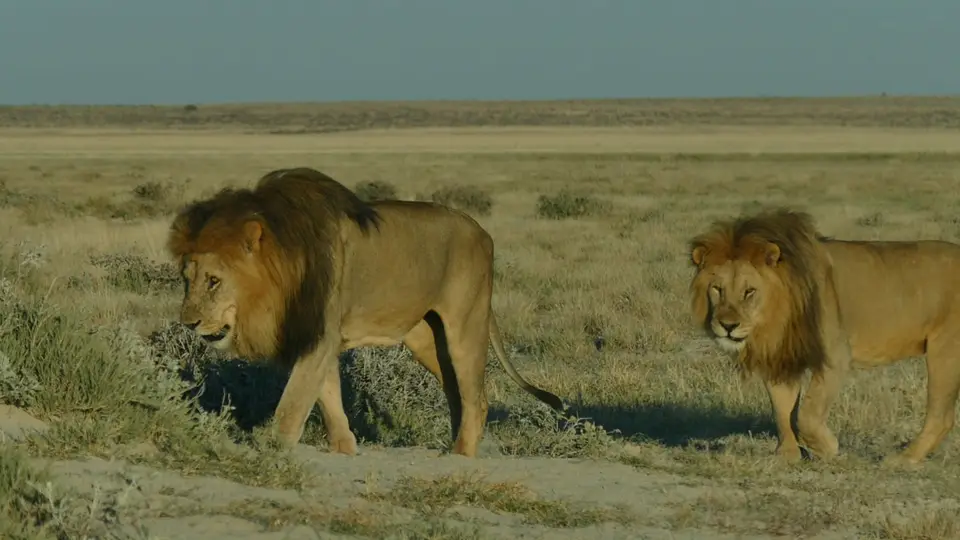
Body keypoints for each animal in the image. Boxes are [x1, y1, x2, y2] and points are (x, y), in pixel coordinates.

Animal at [166, 167, 565, 458]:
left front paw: (272, 446)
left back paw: (461, 455)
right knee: (457, 394)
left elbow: (295, 398)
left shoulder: (320, 331)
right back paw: (451, 446)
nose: (188, 323)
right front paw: (344, 447)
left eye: (214, 281)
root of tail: (482, 231)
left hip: (465, 326)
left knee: (477, 399)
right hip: (427, 339)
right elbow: (326, 394)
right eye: (186, 279)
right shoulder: (317, 331)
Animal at [688, 208, 960, 466]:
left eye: (749, 292)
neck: (776, 317)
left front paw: (826, 448)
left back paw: (904, 459)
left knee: (941, 417)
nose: (728, 326)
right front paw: (787, 454)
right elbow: (782, 409)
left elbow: (806, 413)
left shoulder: (835, 356)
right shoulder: (781, 357)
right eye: (718, 289)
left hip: (945, 351)